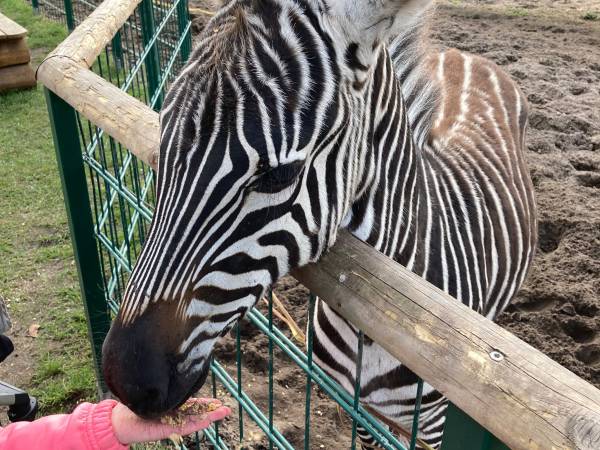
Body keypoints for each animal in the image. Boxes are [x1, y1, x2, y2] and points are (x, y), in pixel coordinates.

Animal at [101, 0, 536, 446]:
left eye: (280, 176)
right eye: (162, 146)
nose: (125, 381)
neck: (381, 326)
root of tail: (474, 57)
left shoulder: (432, 426)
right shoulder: (360, 411)